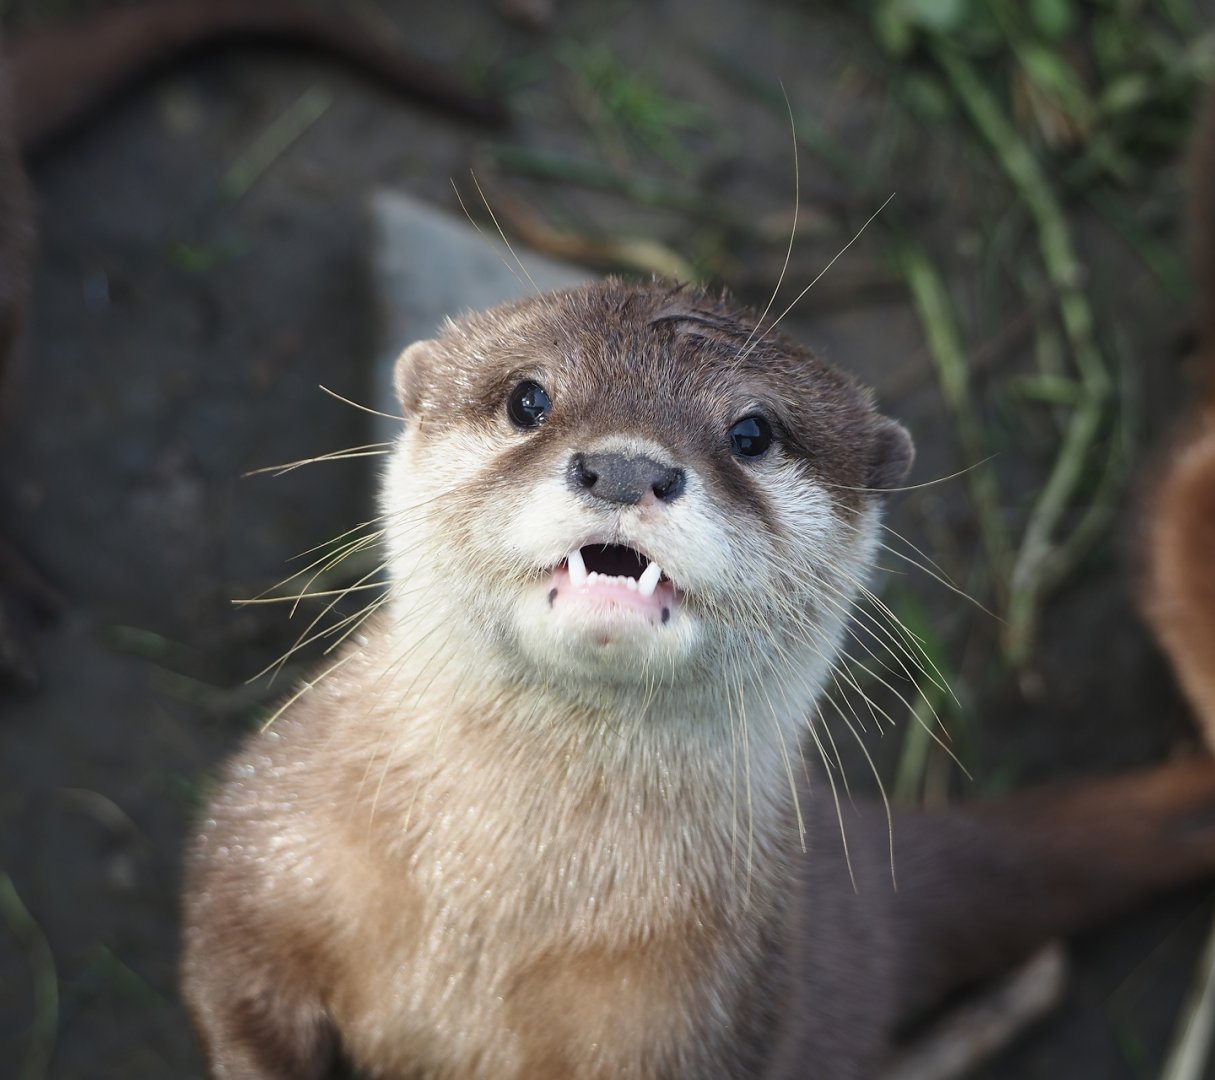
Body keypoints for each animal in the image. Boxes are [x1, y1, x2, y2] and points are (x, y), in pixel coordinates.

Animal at [181, 279, 1215, 1079]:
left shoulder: (704, 1016)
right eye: (528, 399)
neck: (479, 928)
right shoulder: (258, 868)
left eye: (751, 432)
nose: (622, 466)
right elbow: (233, 998)